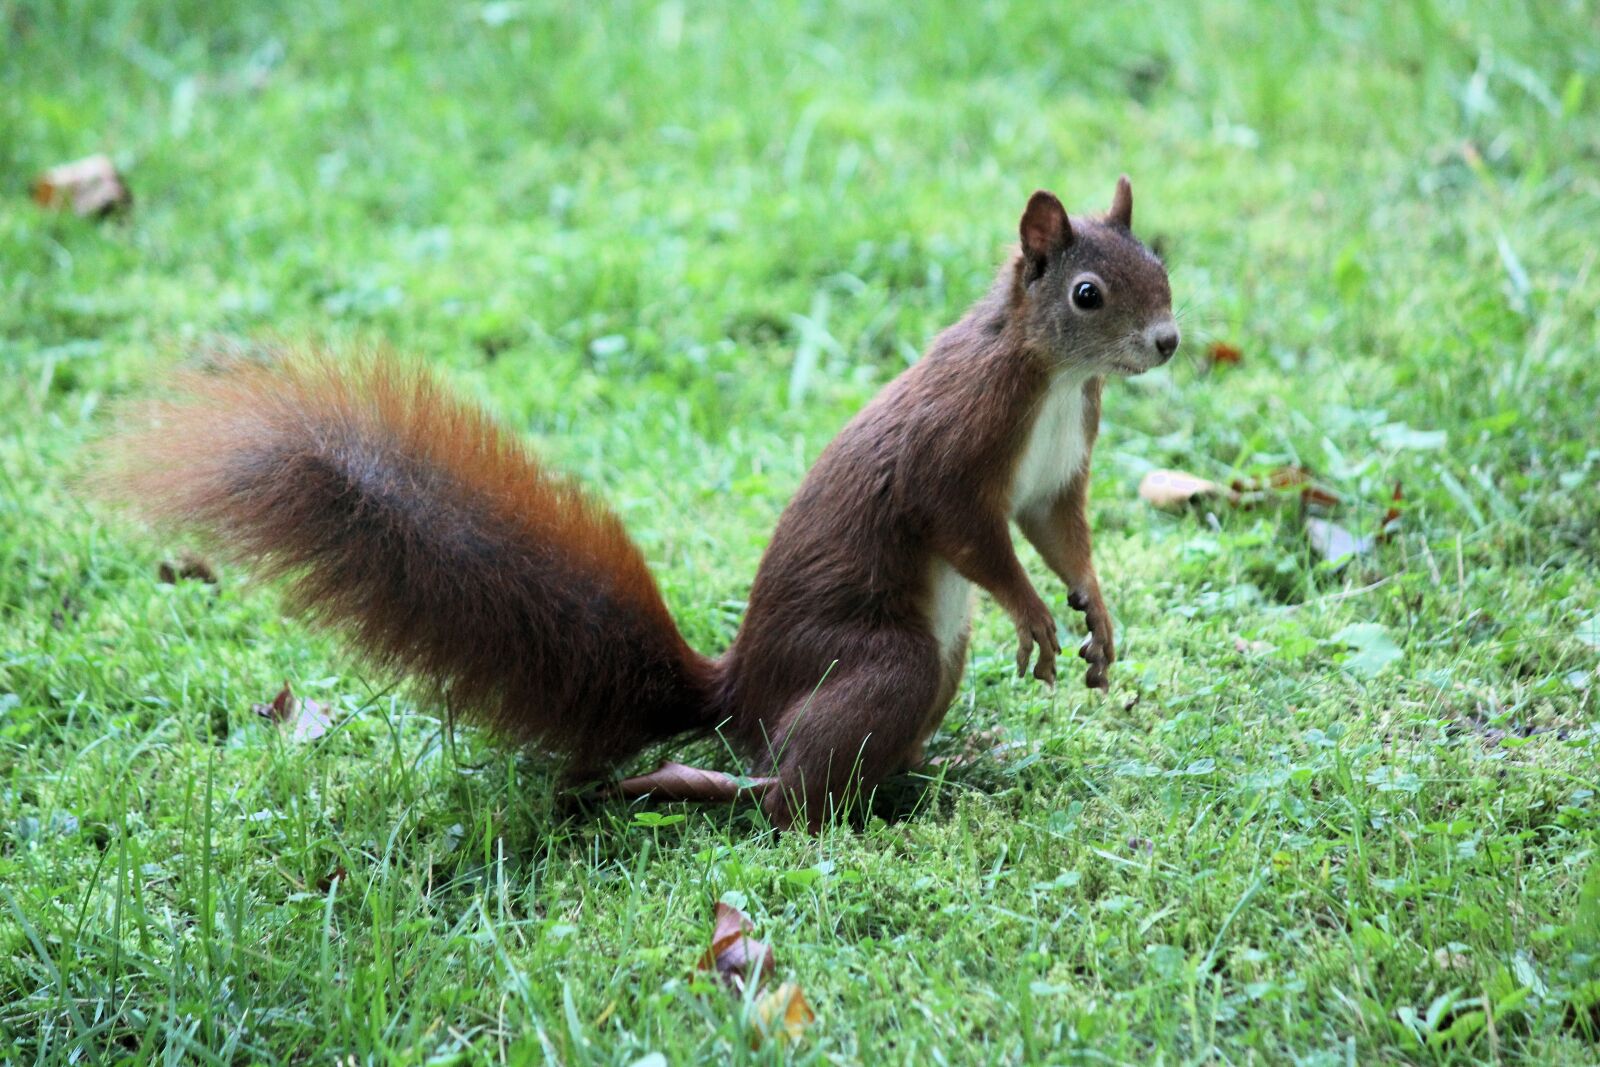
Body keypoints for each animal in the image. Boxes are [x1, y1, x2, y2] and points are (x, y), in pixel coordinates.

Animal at [105, 178, 1177, 831]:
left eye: (1163, 268)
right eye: (1087, 293)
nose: (1168, 341)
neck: (1050, 376)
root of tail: (737, 689)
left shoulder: (1056, 472)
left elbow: (1058, 535)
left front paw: (1095, 612)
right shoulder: (953, 453)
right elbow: (975, 536)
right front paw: (1036, 616)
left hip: (930, 661)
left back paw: (933, 773)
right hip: (886, 657)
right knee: (783, 795)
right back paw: (715, 787)